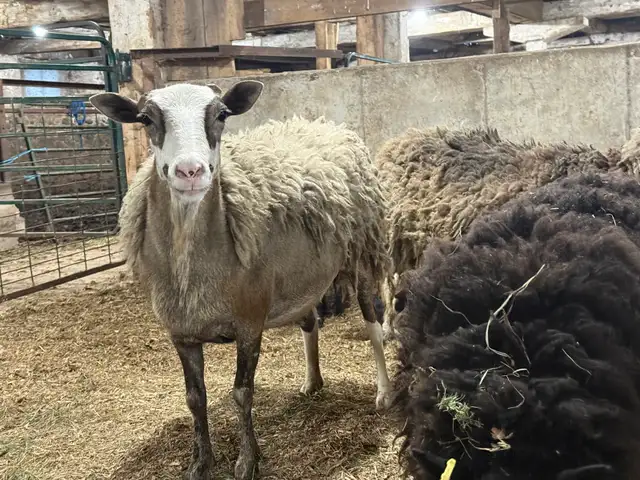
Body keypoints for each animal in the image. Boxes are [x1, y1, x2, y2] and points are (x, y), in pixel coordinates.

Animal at [89, 81, 392, 480]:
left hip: (364, 253)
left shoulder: (250, 323)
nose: (190, 171)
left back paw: (383, 393)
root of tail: (324, 124)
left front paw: (247, 461)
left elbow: (242, 392)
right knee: (309, 322)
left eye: (221, 114)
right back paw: (312, 382)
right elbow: (195, 397)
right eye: (146, 119)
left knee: (373, 322)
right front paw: (200, 462)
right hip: (303, 276)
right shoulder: (181, 332)